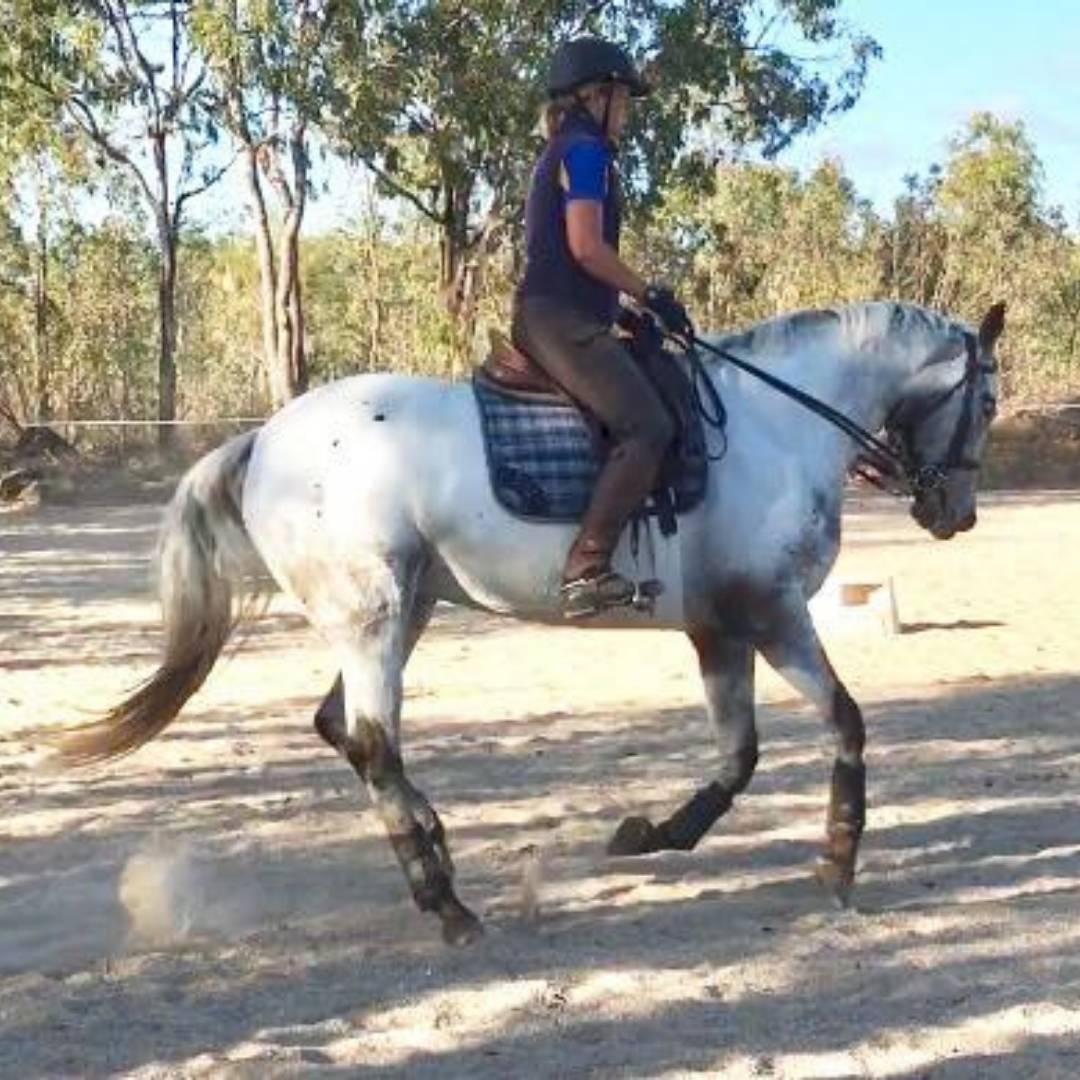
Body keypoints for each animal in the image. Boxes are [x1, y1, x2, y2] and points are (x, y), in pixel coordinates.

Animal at [54, 299, 1004, 946]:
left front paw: (651, 833)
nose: (955, 515)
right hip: (374, 616)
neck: (779, 424)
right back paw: (446, 903)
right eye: (988, 404)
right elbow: (845, 722)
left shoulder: (719, 629)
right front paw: (838, 862)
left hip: (404, 608)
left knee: (342, 730)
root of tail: (263, 440)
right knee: (372, 741)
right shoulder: (772, 613)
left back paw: (439, 852)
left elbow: (738, 756)